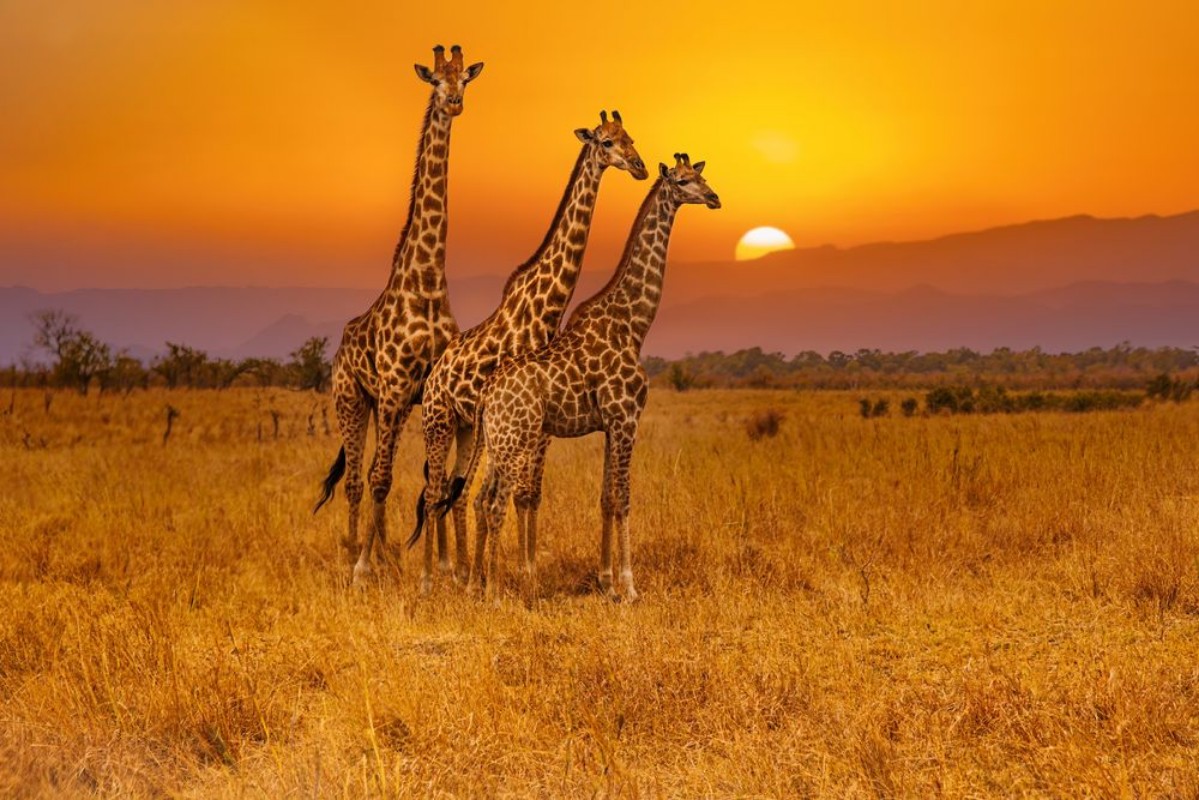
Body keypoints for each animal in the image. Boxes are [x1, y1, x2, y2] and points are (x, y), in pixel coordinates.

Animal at [314, 45, 481, 582]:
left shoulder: (426, 390)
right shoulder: (392, 387)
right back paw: (355, 552)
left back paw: (384, 551)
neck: (426, 280)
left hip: (388, 404)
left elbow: (435, 479)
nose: (454, 103)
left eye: (465, 80)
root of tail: (340, 346)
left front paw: (444, 565)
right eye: (435, 81)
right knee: (357, 478)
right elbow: (384, 478)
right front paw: (363, 567)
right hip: (352, 398)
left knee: (370, 473)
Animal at [412, 109, 652, 592]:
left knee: (453, 491)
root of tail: (434, 374)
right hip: (438, 421)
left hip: (466, 428)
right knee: (434, 492)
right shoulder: (530, 419)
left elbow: (528, 494)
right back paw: (432, 577)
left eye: (630, 137)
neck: (545, 307)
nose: (639, 167)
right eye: (606, 142)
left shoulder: (540, 422)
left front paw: (523, 571)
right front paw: (520, 575)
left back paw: (460, 571)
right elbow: (518, 494)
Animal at [455, 153, 719, 597]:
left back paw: (477, 585)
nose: (715, 197)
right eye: (683, 182)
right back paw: (492, 591)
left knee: (480, 498)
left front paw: (606, 581)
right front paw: (629, 587)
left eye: (701, 176)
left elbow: (606, 498)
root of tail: (487, 393)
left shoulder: (610, 424)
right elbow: (624, 497)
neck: (633, 324)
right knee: (492, 501)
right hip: (513, 440)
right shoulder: (627, 417)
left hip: (497, 439)